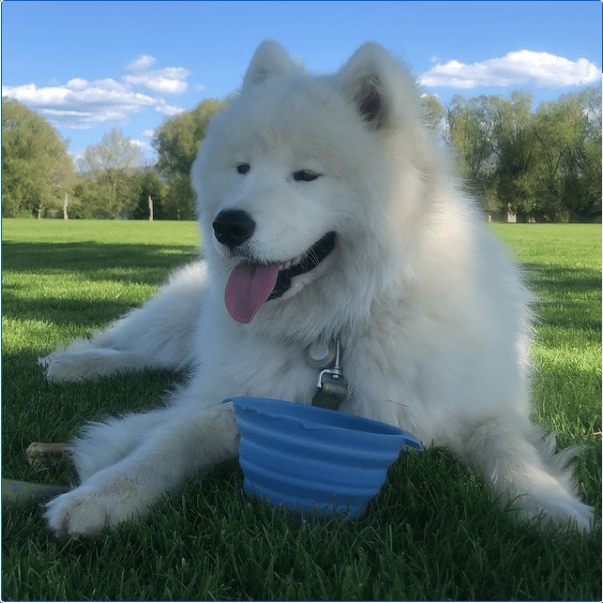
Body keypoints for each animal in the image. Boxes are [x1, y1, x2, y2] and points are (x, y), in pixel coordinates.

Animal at [42, 40, 596, 536]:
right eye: (242, 168)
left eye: (306, 175)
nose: (228, 226)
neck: (341, 324)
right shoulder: (234, 398)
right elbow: (168, 441)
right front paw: (98, 495)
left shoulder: (482, 406)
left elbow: (509, 450)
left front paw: (552, 506)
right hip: (178, 318)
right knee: (140, 348)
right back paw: (72, 364)